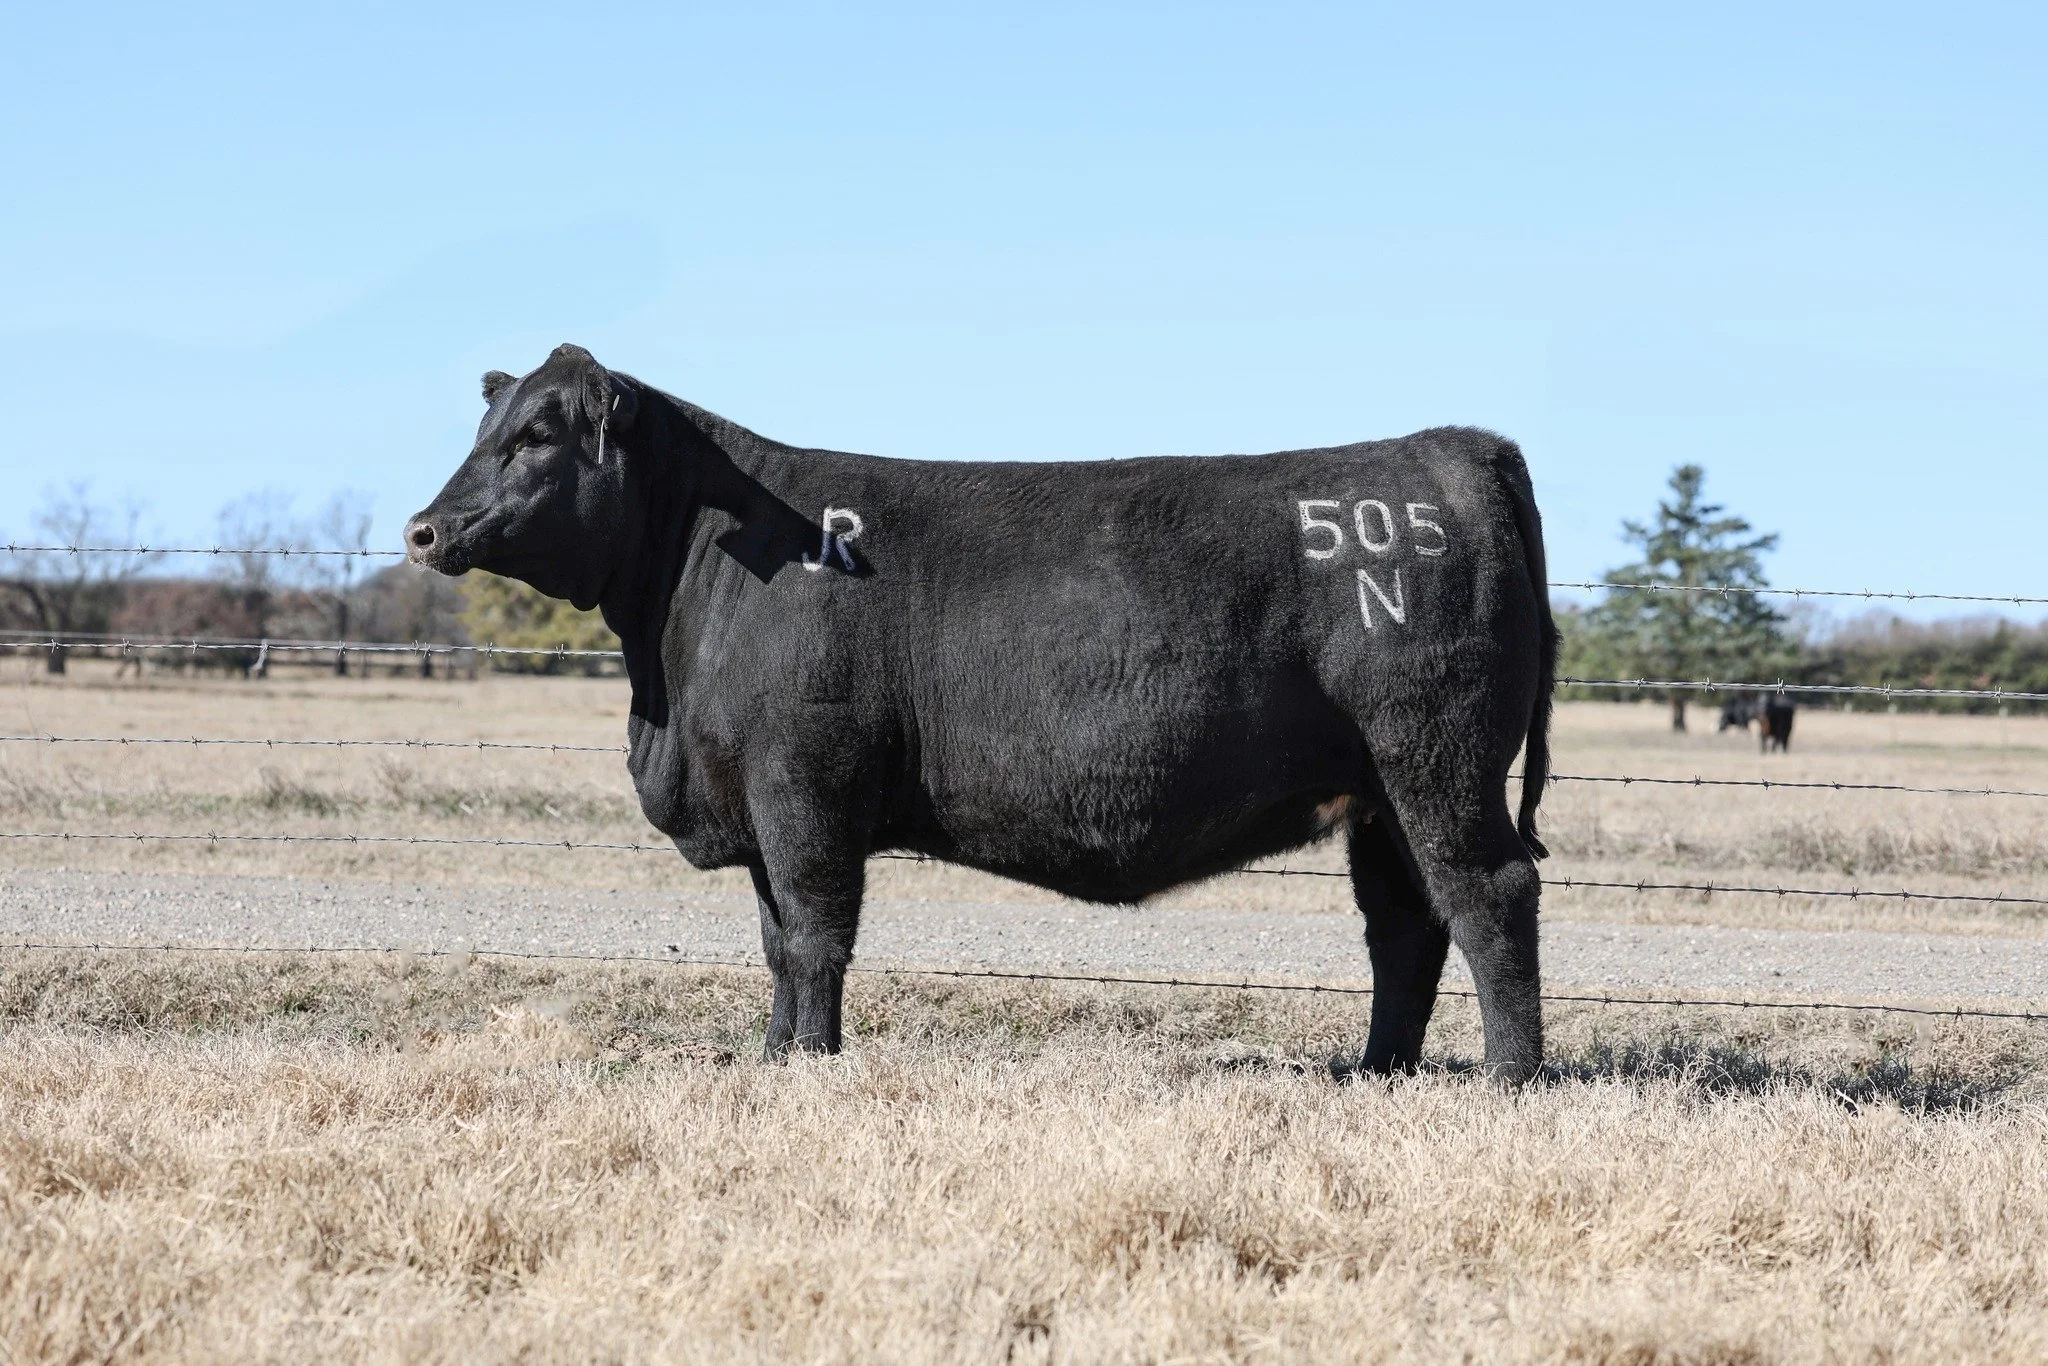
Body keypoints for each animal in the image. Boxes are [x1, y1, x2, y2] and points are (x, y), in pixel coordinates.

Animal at [406, 345, 1559, 1081]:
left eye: (540, 434)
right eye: (488, 426)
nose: (423, 529)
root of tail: (1448, 448)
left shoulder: (804, 786)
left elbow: (815, 931)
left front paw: (814, 1063)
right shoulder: (760, 801)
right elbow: (775, 939)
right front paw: (775, 1059)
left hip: (1435, 761)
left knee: (1487, 894)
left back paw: (1508, 1077)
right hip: (1379, 789)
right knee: (1403, 922)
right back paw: (1377, 1071)